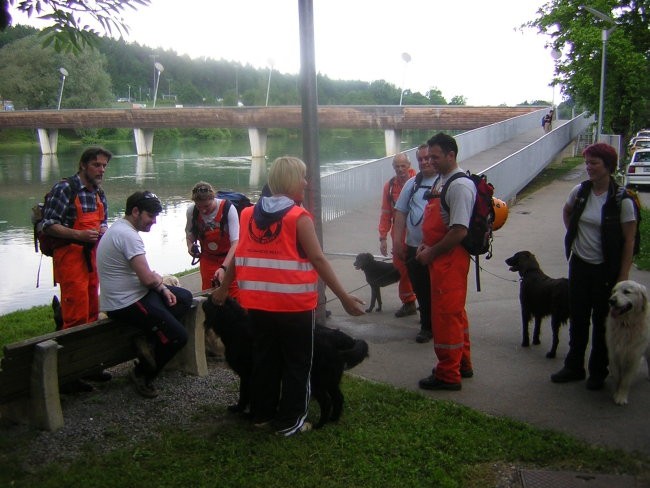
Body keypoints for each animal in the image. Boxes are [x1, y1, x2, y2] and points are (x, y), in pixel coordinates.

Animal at [200, 298, 368, 428]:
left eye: (210, 300)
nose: (203, 300)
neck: (235, 325)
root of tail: (337, 337)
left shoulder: (250, 375)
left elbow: (248, 395)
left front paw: (247, 413)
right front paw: (243, 410)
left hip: (316, 380)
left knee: (327, 401)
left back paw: (319, 425)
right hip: (330, 379)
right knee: (338, 398)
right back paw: (333, 419)